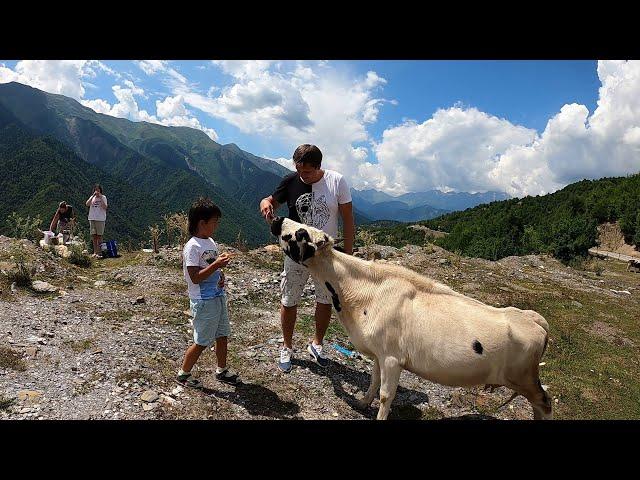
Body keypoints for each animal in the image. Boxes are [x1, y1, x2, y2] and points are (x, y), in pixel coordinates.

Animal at [268, 218, 552, 420]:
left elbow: (386, 394)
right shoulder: (378, 352)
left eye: (300, 233)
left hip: (524, 377)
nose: (279, 218)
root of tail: (531, 317)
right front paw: (362, 402)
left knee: (545, 402)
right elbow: (373, 381)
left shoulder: (393, 357)